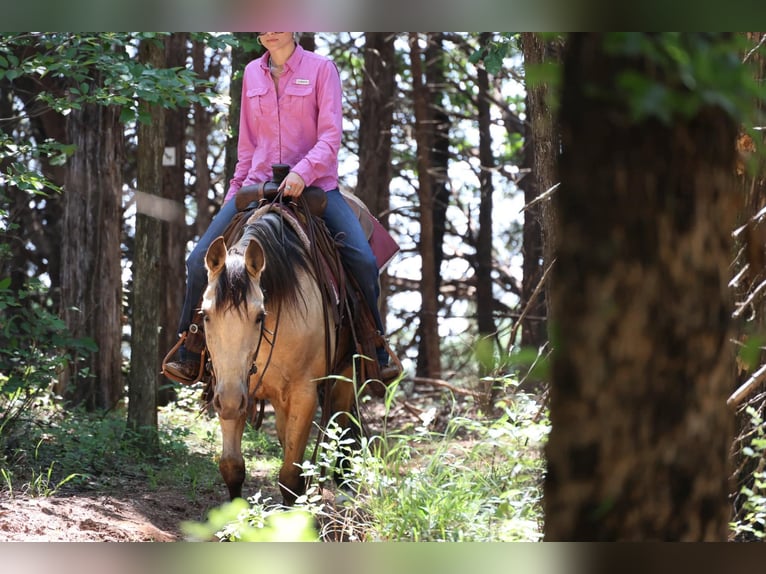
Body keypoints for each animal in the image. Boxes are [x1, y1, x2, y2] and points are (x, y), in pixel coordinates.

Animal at [200, 206, 358, 505]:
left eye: (260, 316)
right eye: (205, 315)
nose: (229, 400)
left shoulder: (303, 395)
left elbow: (290, 478)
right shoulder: (231, 390)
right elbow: (232, 467)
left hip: (344, 377)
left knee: (341, 421)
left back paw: (344, 483)